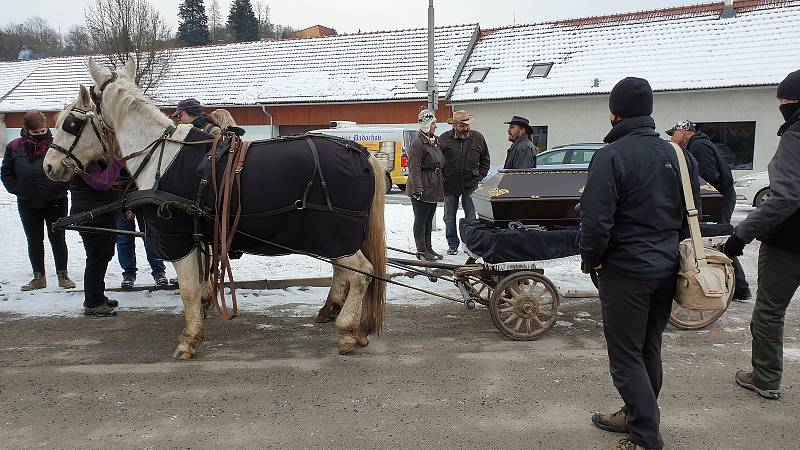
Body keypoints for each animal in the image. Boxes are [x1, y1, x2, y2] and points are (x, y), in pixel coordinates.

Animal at [43, 59, 388, 360]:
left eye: (71, 123)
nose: (49, 167)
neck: (160, 155)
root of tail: (359, 152)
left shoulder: (178, 236)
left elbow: (188, 290)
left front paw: (189, 339)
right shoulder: (200, 236)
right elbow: (200, 282)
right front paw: (203, 315)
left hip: (336, 235)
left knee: (361, 274)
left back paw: (346, 330)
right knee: (349, 273)